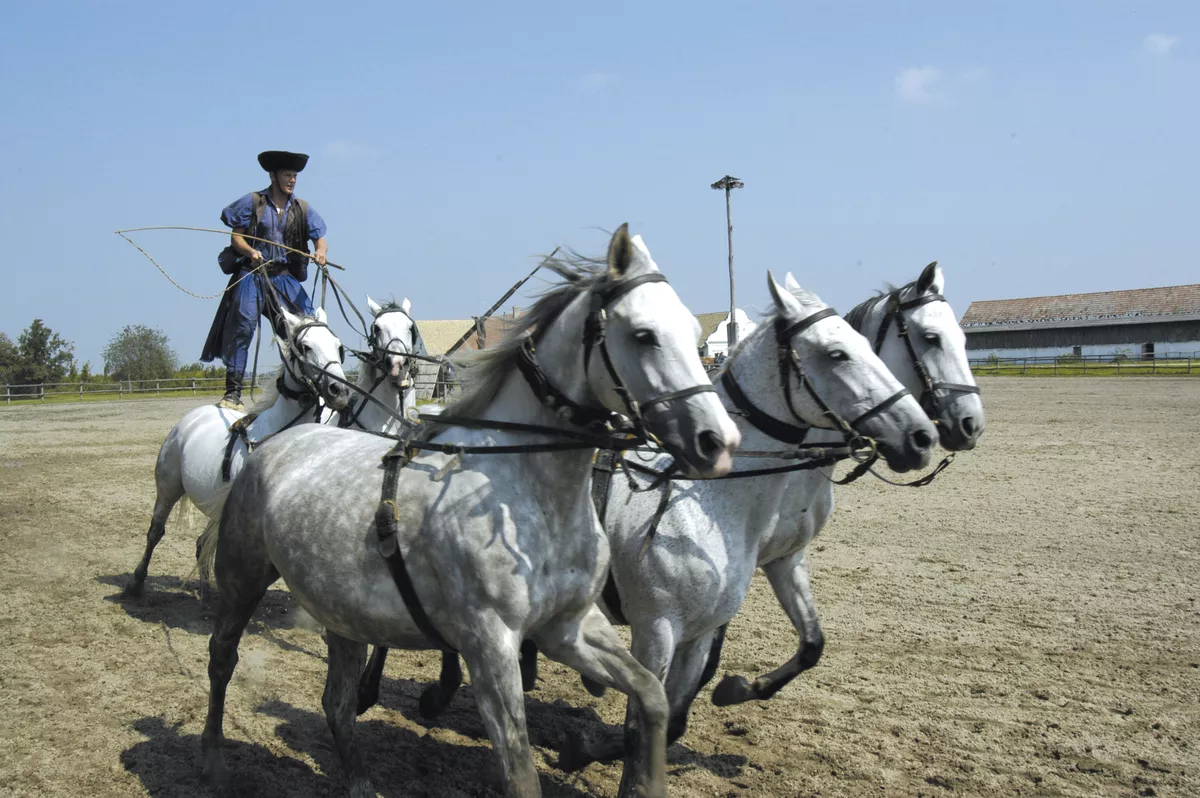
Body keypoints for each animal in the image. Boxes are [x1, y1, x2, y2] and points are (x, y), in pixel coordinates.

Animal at [123, 307, 350, 595]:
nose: (340, 391)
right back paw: (136, 581)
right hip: (168, 488)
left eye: (339, 347)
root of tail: (192, 418)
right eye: (305, 347)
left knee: (201, 544)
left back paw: (207, 592)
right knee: (156, 531)